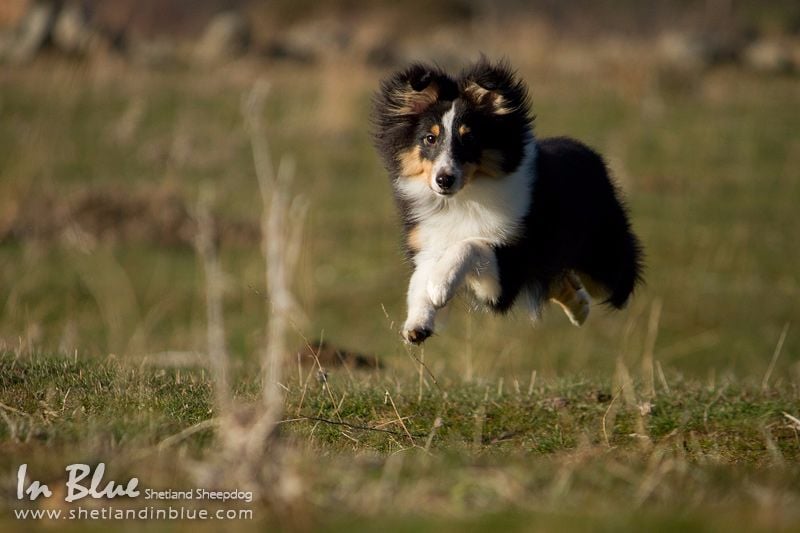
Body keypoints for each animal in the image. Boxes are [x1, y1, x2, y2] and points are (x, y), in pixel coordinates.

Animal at [370, 59, 644, 344]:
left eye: (469, 138)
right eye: (430, 138)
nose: (444, 180)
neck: (464, 198)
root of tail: (588, 152)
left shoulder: (508, 269)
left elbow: (470, 244)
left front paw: (440, 286)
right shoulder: (429, 243)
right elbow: (419, 280)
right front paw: (417, 323)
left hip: (602, 262)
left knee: (616, 281)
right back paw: (579, 308)